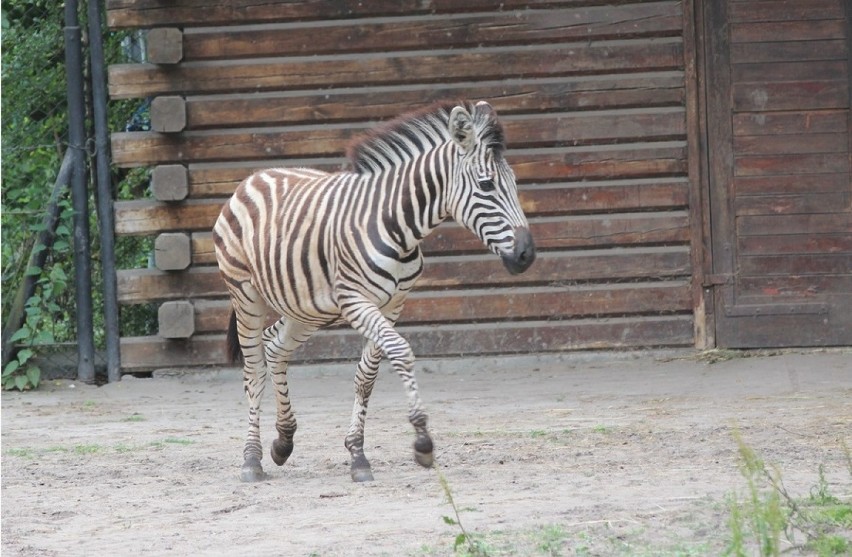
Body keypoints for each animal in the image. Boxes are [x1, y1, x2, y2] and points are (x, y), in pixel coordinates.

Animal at [213, 100, 532, 482]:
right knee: (254, 370)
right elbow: (401, 351)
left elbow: (366, 376)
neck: (397, 225)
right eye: (486, 185)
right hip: (245, 295)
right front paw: (422, 441)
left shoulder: (392, 304)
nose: (527, 255)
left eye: (514, 183)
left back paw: (283, 441)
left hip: (305, 307)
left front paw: (357, 455)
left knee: (275, 348)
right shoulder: (356, 301)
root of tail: (255, 177)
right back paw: (251, 460)